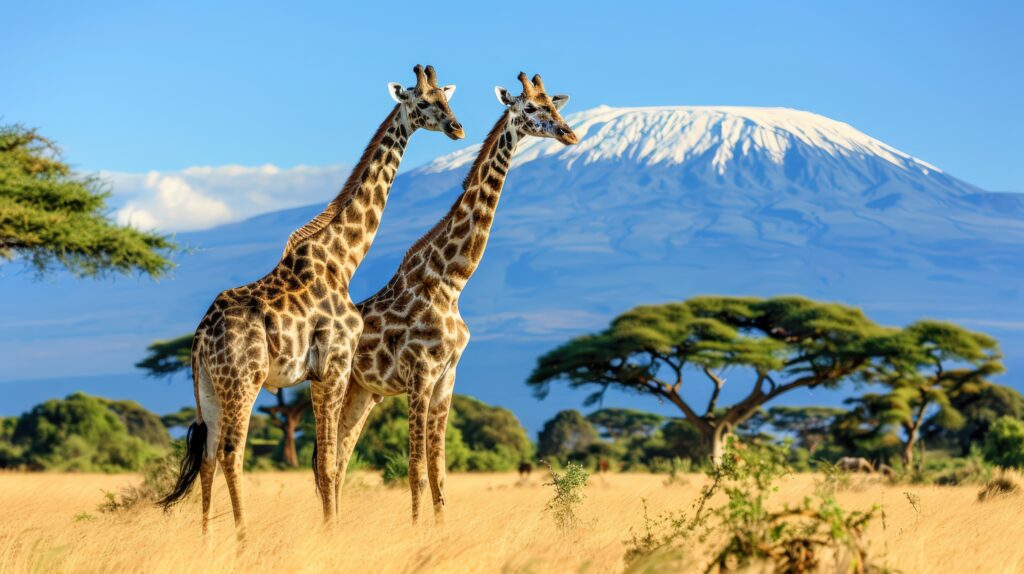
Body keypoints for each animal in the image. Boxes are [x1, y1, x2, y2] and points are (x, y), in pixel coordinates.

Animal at [158, 65, 464, 537]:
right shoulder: (333, 366)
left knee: (206, 455)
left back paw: (207, 540)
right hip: (244, 380)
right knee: (230, 453)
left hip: (207, 385)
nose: (457, 127)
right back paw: (243, 537)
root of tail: (199, 338)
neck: (343, 259)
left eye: (446, 98)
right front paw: (331, 533)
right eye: (423, 101)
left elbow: (326, 463)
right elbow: (328, 464)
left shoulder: (321, 374)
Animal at [333, 72, 577, 524]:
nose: (570, 134)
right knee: (325, 460)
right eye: (529, 108)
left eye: (555, 106)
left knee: (338, 460)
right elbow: (415, 469)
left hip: (365, 392)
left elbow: (439, 473)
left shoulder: (447, 377)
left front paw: (439, 531)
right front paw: (416, 533)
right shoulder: (419, 375)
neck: (450, 282)